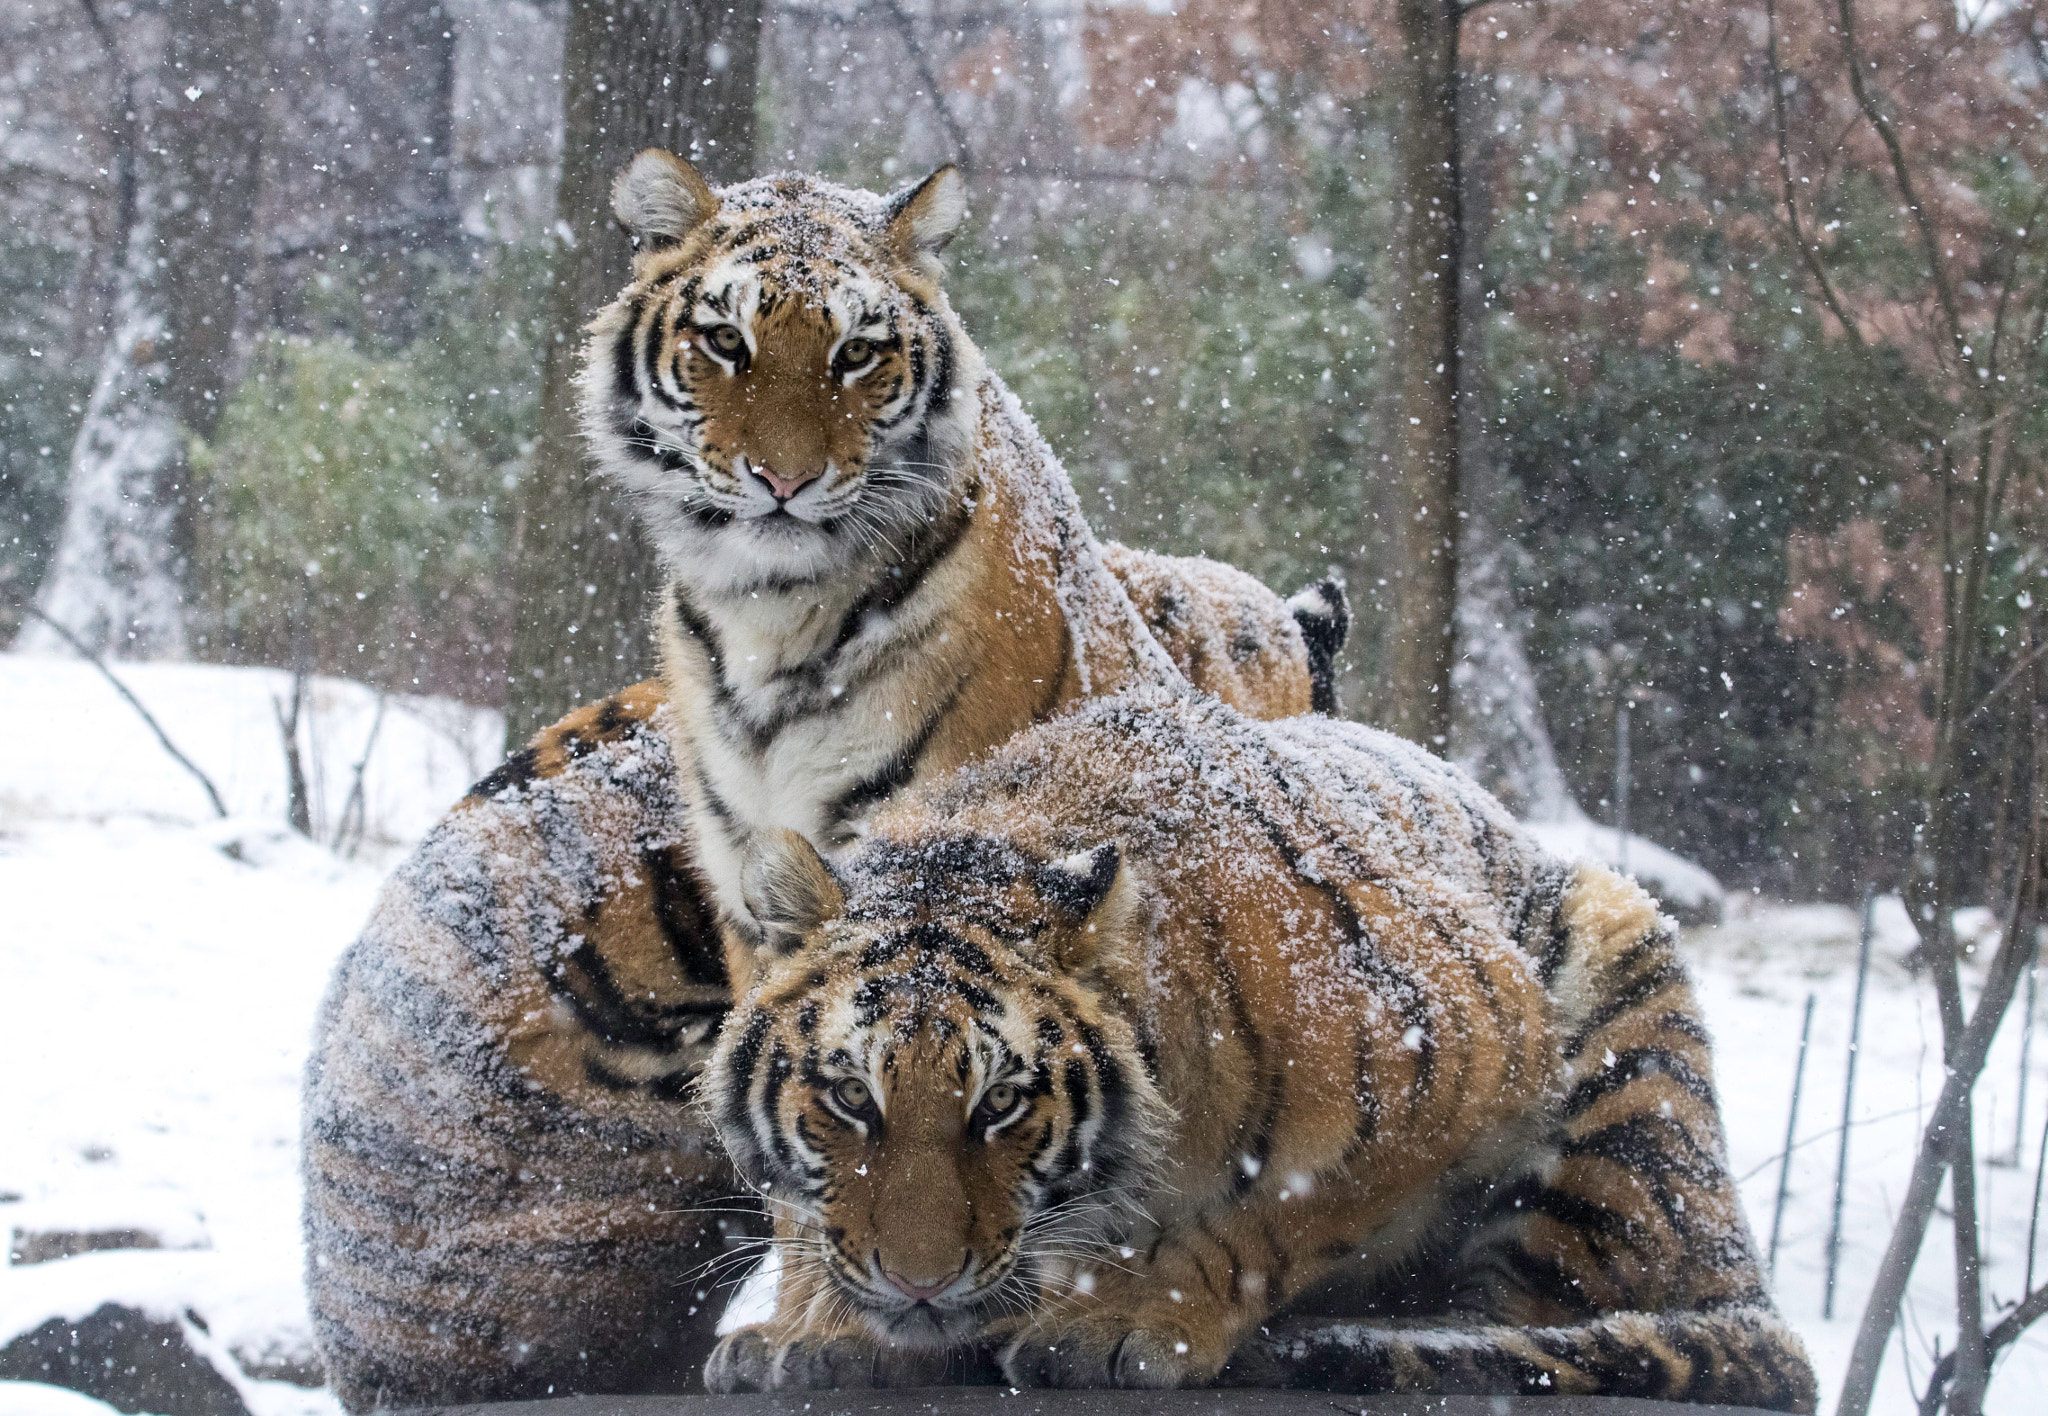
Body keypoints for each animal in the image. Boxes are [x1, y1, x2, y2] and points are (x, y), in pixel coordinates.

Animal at [701, 687, 1817, 1409]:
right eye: (852, 1100)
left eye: (1001, 1105)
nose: (920, 1283)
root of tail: (1739, 1268)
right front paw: (818, 1328)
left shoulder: (1468, 1041)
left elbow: (1285, 1212)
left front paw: (1126, 1319)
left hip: (1619, 1010)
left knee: (1539, 1313)